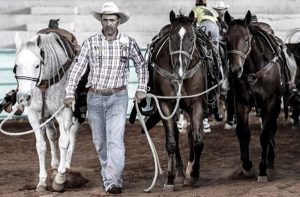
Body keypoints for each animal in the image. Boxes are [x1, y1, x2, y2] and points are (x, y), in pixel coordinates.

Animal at [13, 31, 81, 191]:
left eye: (37, 65)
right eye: (16, 65)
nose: (23, 98)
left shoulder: (65, 112)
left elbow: (64, 142)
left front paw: (60, 178)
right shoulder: (34, 115)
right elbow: (41, 146)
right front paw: (42, 181)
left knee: (72, 136)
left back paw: (66, 166)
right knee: (52, 135)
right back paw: (55, 164)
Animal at [225, 10, 286, 182]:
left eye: (246, 39)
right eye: (226, 40)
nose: (235, 70)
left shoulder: (271, 102)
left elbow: (265, 135)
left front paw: (263, 170)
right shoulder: (241, 102)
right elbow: (243, 132)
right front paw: (247, 166)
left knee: (271, 129)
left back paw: (270, 163)